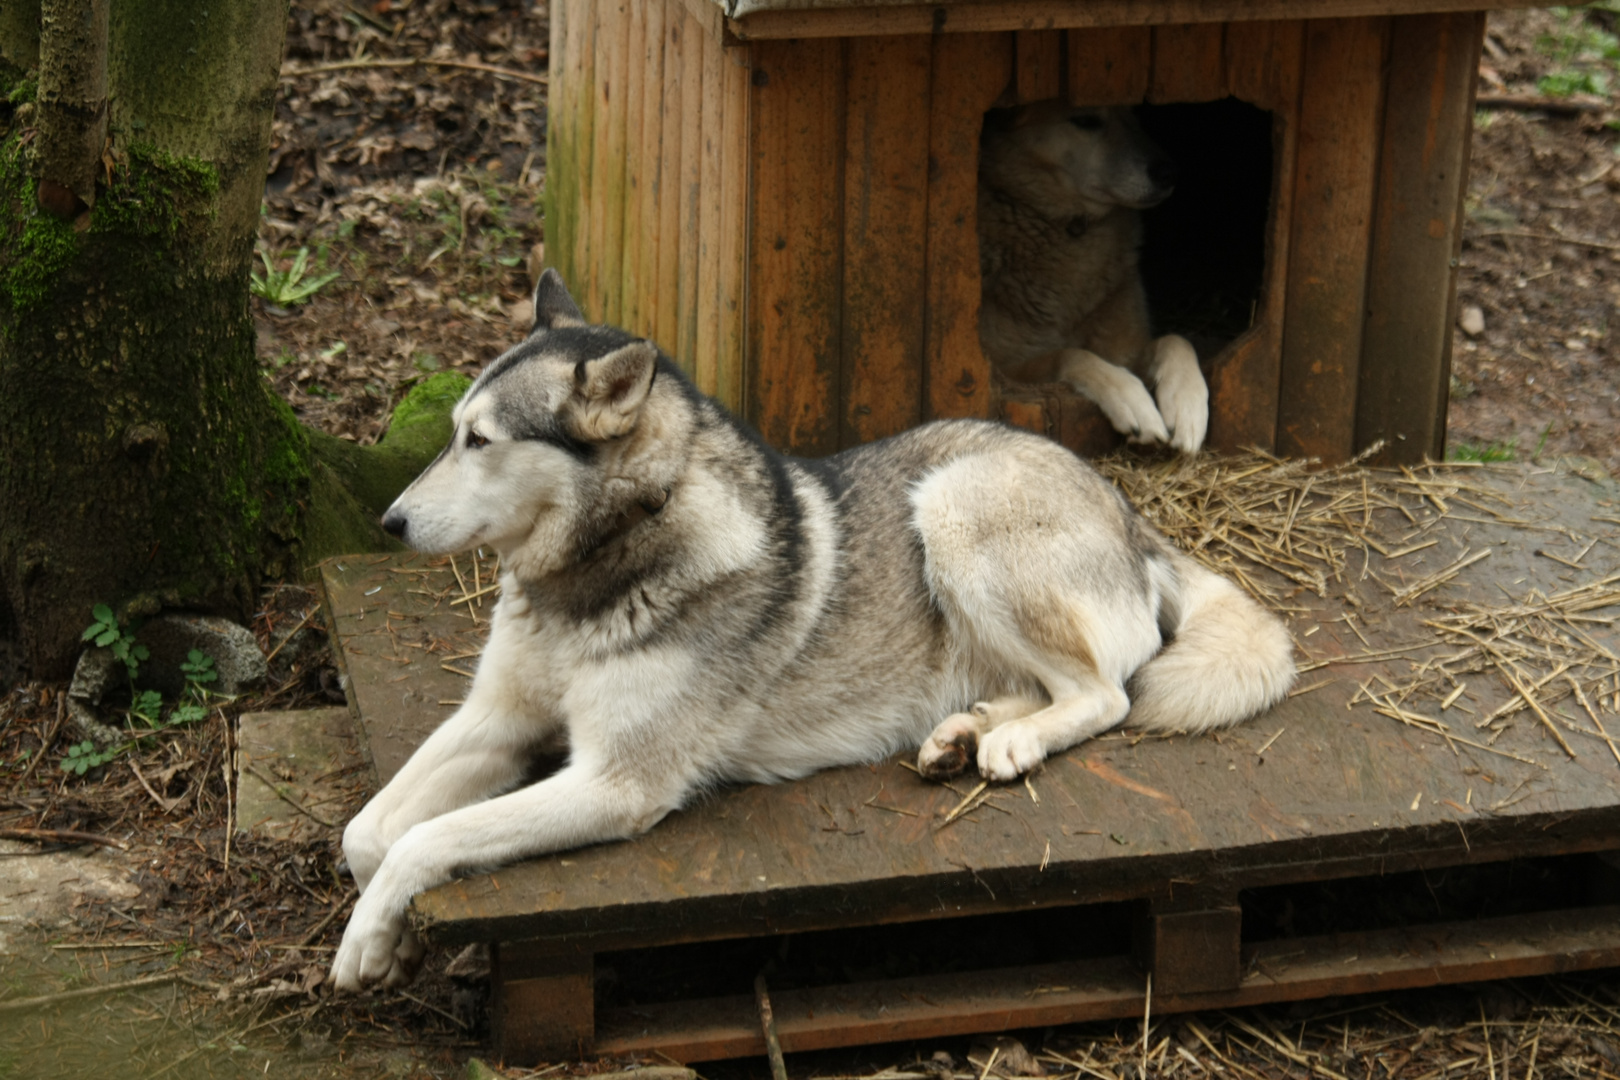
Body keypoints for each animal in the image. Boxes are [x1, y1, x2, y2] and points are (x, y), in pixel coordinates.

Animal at [325, 270, 1289, 990]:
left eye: (479, 441)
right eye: (452, 432)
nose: (387, 522)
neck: (601, 570)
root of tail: (1130, 512)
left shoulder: (615, 784)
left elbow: (425, 837)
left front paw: (374, 934)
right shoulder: (498, 718)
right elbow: (367, 834)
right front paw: (388, 937)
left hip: (953, 509)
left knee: (1106, 693)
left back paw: (1011, 744)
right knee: (1049, 688)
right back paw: (963, 735)